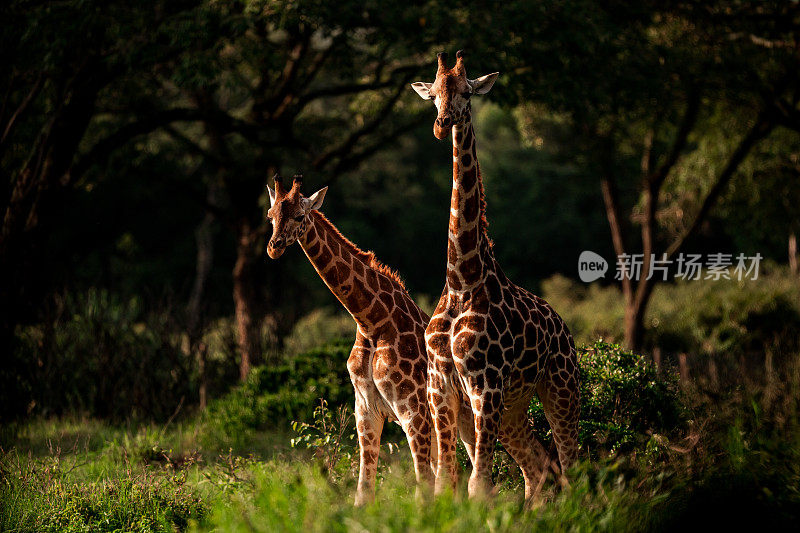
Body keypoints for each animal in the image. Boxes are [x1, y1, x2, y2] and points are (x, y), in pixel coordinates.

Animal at [266, 174, 472, 502]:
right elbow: (363, 491)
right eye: (270, 216)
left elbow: (423, 484)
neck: (371, 323)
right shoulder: (365, 410)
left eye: (299, 216)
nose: (274, 248)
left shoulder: (414, 411)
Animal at [412, 52, 580, 500]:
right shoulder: (440, 387)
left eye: (467, 92)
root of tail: (563, 325)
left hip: (560, 388)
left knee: (572, 464)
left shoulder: (484, 384)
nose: (442, 124)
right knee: (538, 466)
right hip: (514, 407)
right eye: (433, 95)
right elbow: (446, 479)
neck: (461, 279)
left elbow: (478, 483)